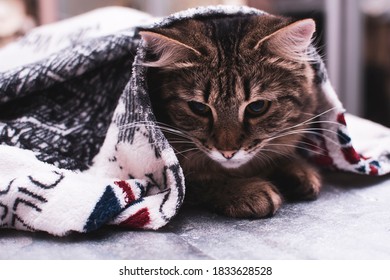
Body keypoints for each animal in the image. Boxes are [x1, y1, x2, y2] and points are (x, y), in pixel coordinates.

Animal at [139, 12, 320, 219]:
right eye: (199, 107)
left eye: (257, 107)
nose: (227, 153)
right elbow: (198, 181)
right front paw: (248, 192)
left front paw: (301, 170)